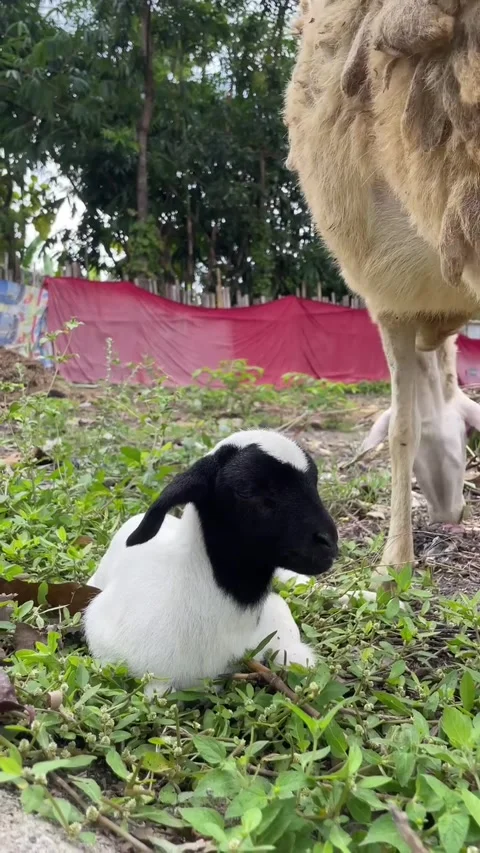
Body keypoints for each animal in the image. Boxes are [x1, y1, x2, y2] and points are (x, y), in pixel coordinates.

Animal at [284, 0, 480, 571]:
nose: (449, 516)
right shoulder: (398, 297)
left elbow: (400, 431)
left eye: (464, 436)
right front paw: (396, 563)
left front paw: (393, 560)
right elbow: (402, 431)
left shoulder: (388, 293)